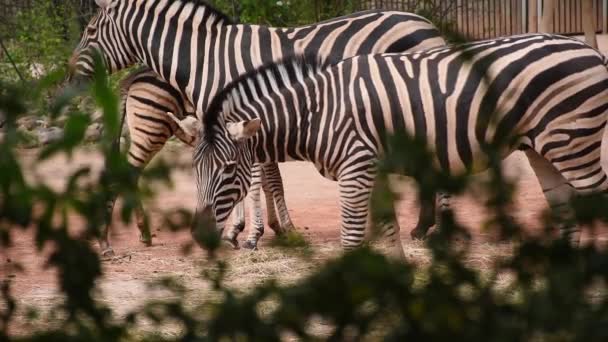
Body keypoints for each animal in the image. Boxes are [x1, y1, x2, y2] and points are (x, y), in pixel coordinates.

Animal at [67, 0, 446, 255]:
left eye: (90, 32)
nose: (70, 79)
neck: (207, 60)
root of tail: (426, 23)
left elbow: (255, 179)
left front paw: (248, 233)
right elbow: (263, 177)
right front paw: (254, 230)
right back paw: (423, 226)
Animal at [192, 34, 608, 260]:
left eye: (227, 169)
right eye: (195, 171)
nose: (198, 236)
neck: (316, 110)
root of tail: (587, 48)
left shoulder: (355, 169)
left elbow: (352, 235)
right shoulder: (370, 169)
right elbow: (388, 229)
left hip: (573, 142)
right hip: (543, 147)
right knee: (565, 210)